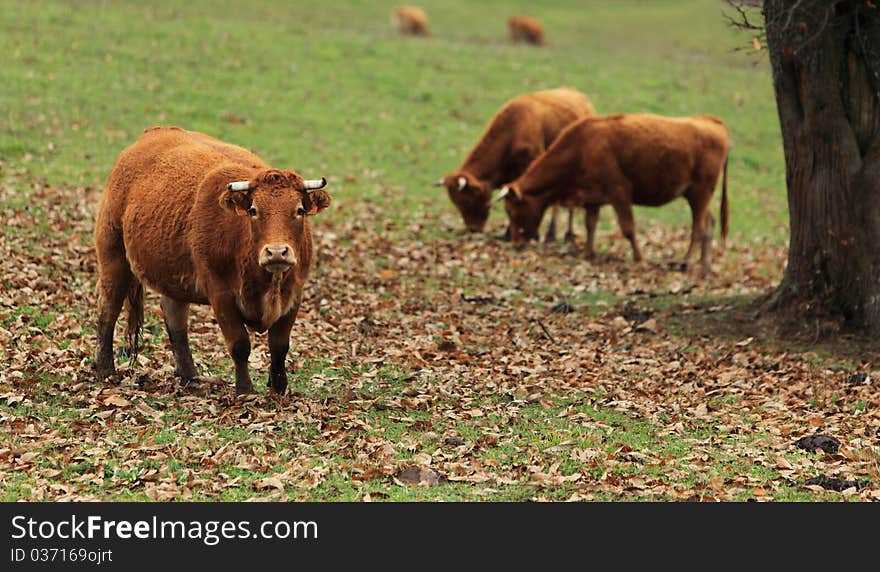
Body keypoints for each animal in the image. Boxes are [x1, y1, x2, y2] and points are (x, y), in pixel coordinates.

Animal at [93, 125, 330, 396]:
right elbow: (239, 345)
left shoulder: (294, 294)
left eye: (299, 210)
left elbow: (280, 346)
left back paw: (189, 375)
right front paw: (245, 391)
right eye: (254, 210)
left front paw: (279, 389)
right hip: (113, 255)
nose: (277, 252)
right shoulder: (220, 294)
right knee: (108, 309)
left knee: (174, 316)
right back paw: (105, 368)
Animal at [434, 85, 596, 239]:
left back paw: (561, 234)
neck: (513, 129)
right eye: (455, 203)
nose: (473, 229)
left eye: (467, 200)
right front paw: (508, 234)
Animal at [498, 114, 732, 272]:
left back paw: (686, 261)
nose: (515, 243)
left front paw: (639, 258)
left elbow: (628, 228)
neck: (582, 147)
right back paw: (705, 264)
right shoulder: (592, 198)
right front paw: (588, 252)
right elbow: (590, 225)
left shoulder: (619, 192)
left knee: (698, 228)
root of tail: (712, 121)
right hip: (697, 196)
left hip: (700, 192)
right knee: (709, 223)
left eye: (512, 210)